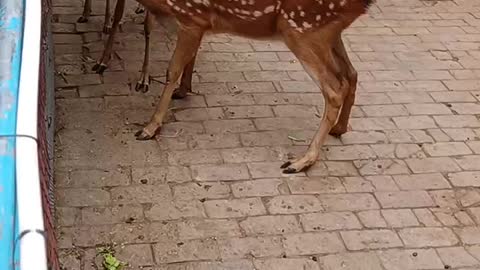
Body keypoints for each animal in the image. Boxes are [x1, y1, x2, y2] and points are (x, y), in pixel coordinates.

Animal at [117, 0, 376, 174]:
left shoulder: (193, 17)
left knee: (334, 88)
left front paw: (149, 128)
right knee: (351, 74)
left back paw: (300, 161)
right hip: (325, 32)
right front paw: (182, 91)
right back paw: (339, 128)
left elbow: (172, 70)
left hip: (301, 28)